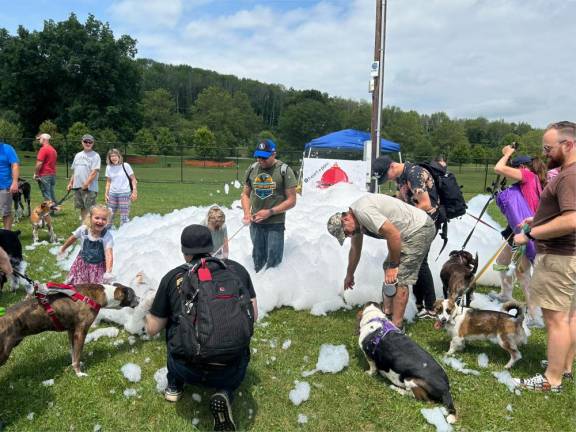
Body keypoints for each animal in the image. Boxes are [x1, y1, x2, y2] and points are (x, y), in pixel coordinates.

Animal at [0, 282, 140, 376]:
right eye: (133, 295)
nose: (140, 299)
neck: (101, 295)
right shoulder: (80, 332)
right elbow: (77, 355)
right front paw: (79, 373)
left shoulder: (71, 331)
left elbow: (73, 353)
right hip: (4, 353)